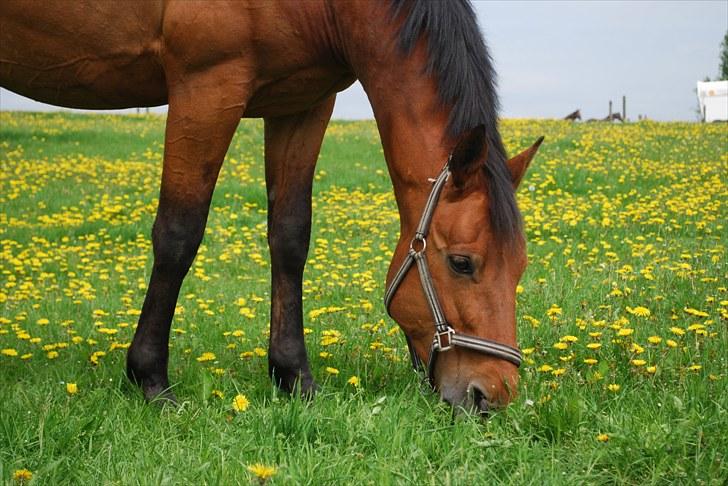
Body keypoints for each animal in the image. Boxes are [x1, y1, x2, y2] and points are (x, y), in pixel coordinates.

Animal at [0, 0, 540, 414]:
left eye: (521, 268)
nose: (493, 394)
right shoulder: (206, 88)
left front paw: (294, 376)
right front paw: (150, 379)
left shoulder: (303, 103)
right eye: (462, 263)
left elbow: (290, 236)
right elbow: (178, 234)